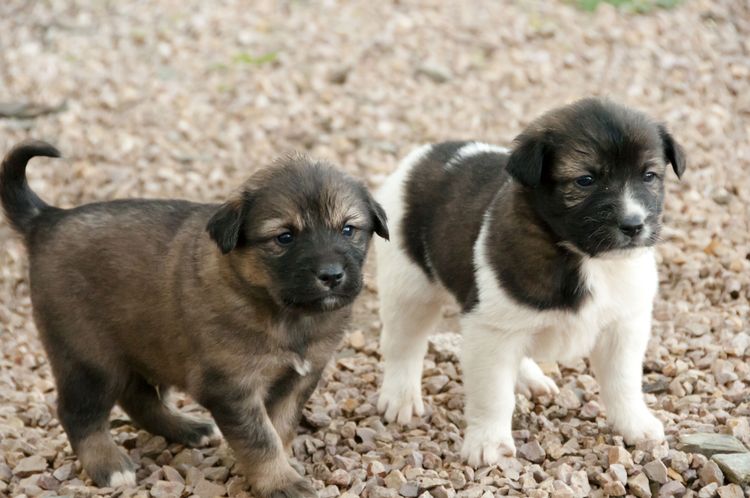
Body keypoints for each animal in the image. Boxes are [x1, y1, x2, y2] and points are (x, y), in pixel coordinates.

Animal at [0, 141, 388, 498]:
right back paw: (109, 466)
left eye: (348, 230)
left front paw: (278, 467)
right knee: (79, 414)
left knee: (137, 397)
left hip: (140, 345)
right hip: (89, 357)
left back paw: (187, 429)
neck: (285, 313)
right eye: (285, 237)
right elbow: (260, 439)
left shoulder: (297, 380)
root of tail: (47, 219)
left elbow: (280, 428)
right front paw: (280, 482)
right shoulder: (231, 386)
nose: (332, 275)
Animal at [376, 98, 688, 466]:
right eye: (585, 180)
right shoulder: (490, 330)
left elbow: (623, 382)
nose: (634, 225)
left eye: (649, 176)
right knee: (404, 345)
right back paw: (400, 397)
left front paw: (635, 425)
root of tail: (421, 156)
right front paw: (488, 441)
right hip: (409, 290)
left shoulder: (623, 326)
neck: (582, 257)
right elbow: (493, 394)